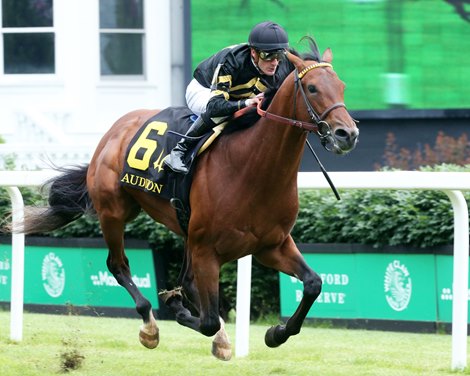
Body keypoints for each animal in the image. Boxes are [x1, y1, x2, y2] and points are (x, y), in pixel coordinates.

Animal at [15, 45, 360, 360]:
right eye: (312, 88)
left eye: (342, 86)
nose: (348, 134)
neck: (252, 169)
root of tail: (114, 131)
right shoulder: (207, 249)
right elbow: (206, 320)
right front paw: (186, 315)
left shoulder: (271, 245)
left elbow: (314, 283)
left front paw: (276, 333)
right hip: (114, 212)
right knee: (118, 265)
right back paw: (150, 326)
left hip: (183, 230)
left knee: (186, 281)